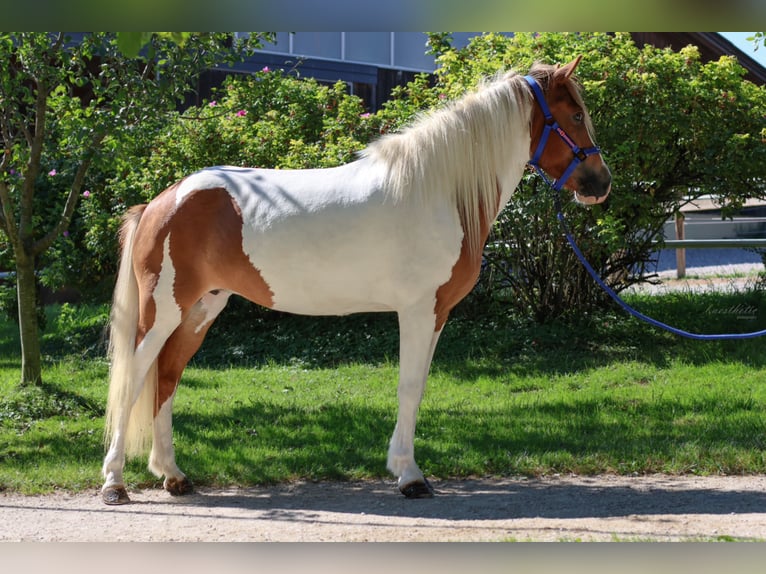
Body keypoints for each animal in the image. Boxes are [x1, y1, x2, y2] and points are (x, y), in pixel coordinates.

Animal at [100, 56, 612, 506]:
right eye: (574, 114)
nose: (601, 183)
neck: (438, 191)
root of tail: (163, 200)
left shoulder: (437, 314)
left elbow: (418, 388)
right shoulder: (417, 310)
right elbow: (409, 386)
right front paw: (410, 476)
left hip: (201, 309)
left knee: (166, 377)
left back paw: (172, 475)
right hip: (163, 312)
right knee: (135, 378)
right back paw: (114, 483)